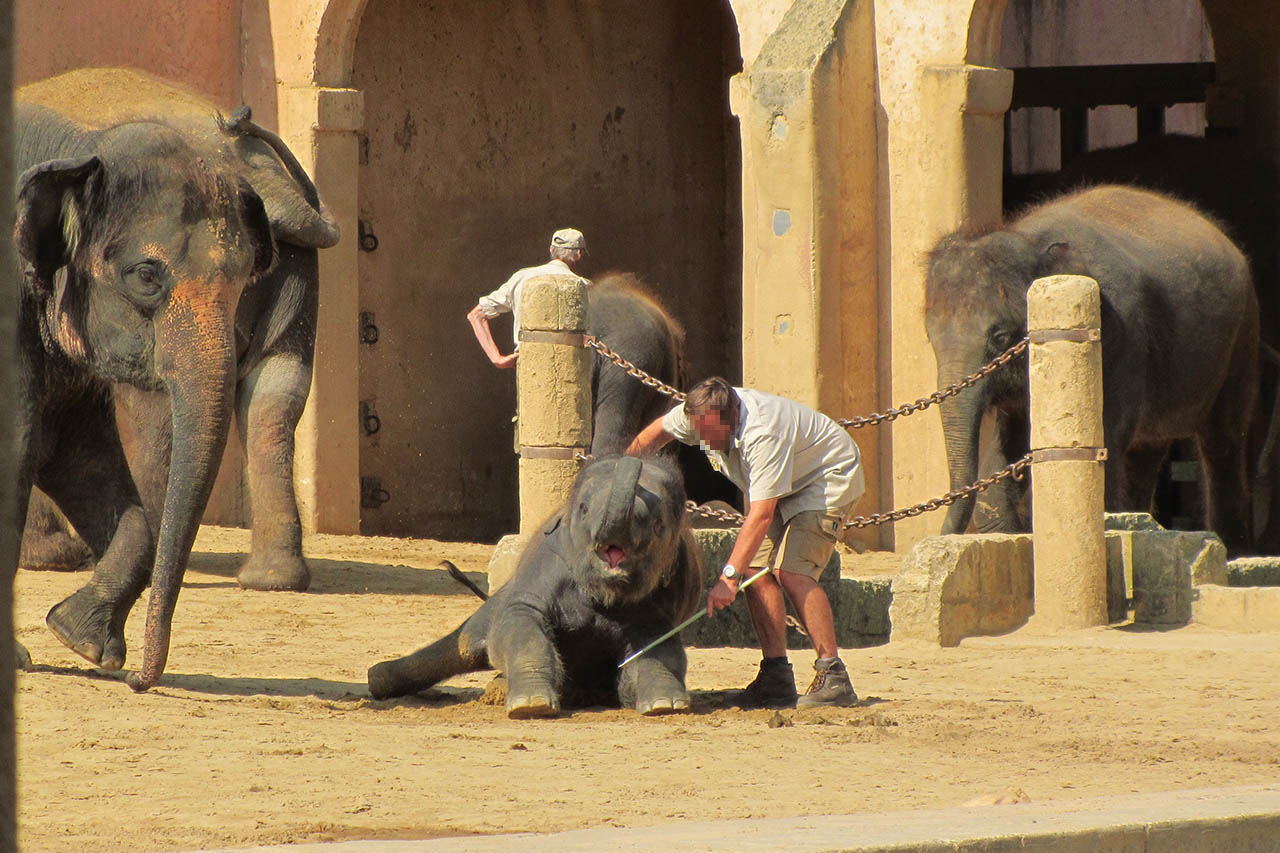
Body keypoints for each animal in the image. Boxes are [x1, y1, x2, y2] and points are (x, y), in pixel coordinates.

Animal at [366, 455, 706, 712]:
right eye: (583, 509)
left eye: (659, 523)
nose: (633, 457)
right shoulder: (546, 567)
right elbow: (519, 623)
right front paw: (532, 705)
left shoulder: (663, 594)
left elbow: (658, 646)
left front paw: (665, 705)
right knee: (469, 640)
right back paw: (379, 679)